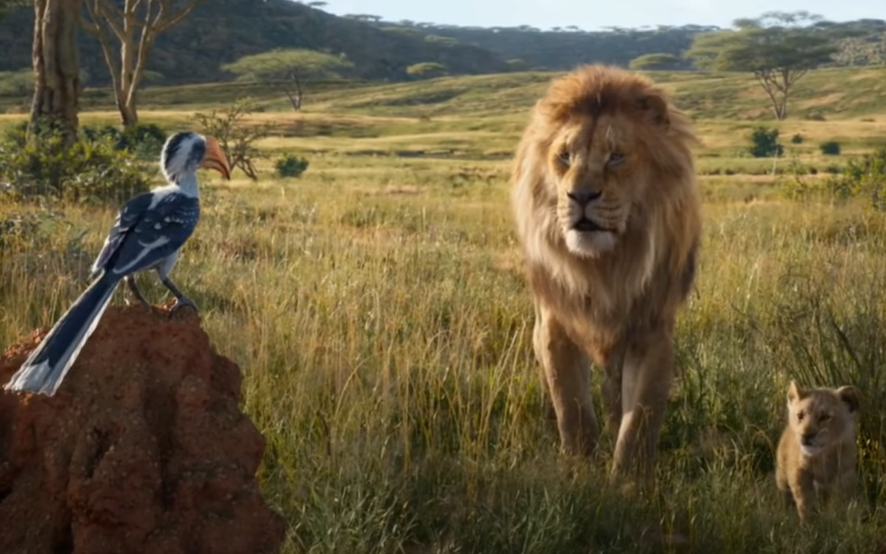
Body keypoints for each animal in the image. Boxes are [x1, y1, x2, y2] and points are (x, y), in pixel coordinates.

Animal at [510, 64, 701, 487]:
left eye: (616, 156)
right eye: (564, 156)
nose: (580, 196)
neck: (604, 265)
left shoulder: (652, 331)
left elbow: (639, 419)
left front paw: (629, 484)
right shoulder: (555, 326)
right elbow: (572, 409)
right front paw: (580, 473)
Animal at [775, 381, 860, 522]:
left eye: (825, 417)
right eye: (800, 415)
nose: (806, 435)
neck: (823, 456)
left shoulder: (845, 474)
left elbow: (842, 500)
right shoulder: (799, 473)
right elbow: (804, 502)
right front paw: (807, 523)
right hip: (781, 475)